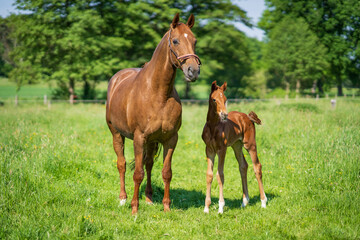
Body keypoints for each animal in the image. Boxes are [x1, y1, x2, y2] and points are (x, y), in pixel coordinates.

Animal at [105, 14, 201, 215]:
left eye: (194, 41)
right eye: (175, 41)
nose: (193, 71)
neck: (158, 93)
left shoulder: (170, 139)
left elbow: (166, 172)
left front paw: (166, 207)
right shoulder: (139, 138)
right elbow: (137, 173)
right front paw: (134, 209)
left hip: (151, 141)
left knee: (148, 163)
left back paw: (149, 199)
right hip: (117, 134)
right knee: (122, 164)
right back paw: (123, 199)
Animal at [202, 81, 268, 214]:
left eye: (225, 99)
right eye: (214, 99)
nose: (224, 114)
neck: (213, 127)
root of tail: (247, 116)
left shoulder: (222, 149)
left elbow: (220, 175)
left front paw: (221, 207)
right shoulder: (209, 150)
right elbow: (209, 175)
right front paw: (206, 208)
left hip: (250, 144)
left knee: (257, 166)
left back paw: (263, 202)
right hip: (236, 145)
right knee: (243, 166)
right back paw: (244, 202)